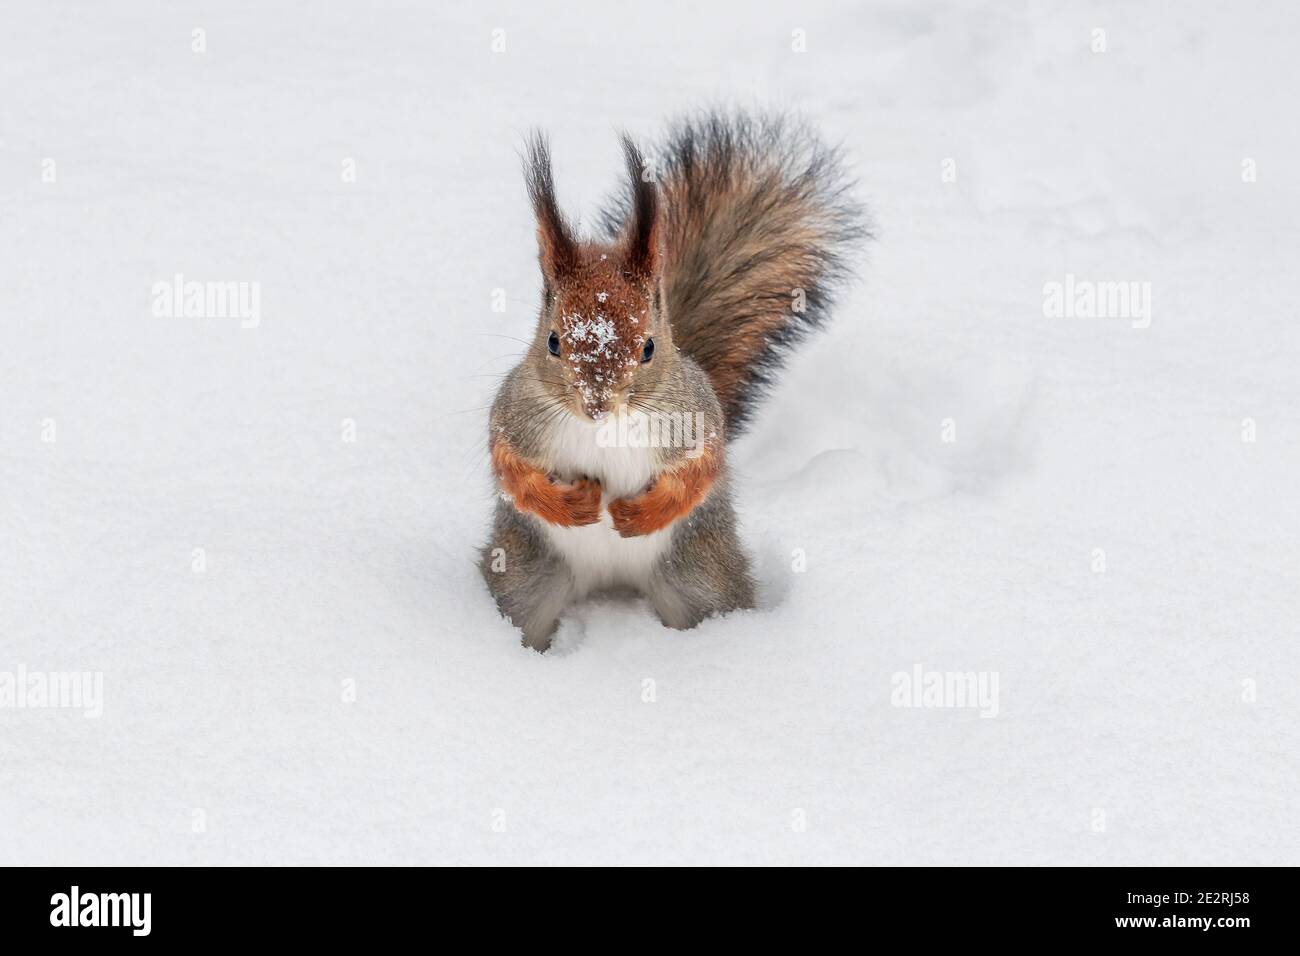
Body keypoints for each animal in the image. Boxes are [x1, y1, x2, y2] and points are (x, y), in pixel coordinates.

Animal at [480, 110, 866, 651]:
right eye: (553, 342)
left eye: (648, 348)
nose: (596, 403)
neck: (606, 429)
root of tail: (610, 581)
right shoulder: (516, 413)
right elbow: (509, 466)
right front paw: (569, 505)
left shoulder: (695, 416)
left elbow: (699, 471)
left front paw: (639, 515)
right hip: (525, 576)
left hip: (699, 576)